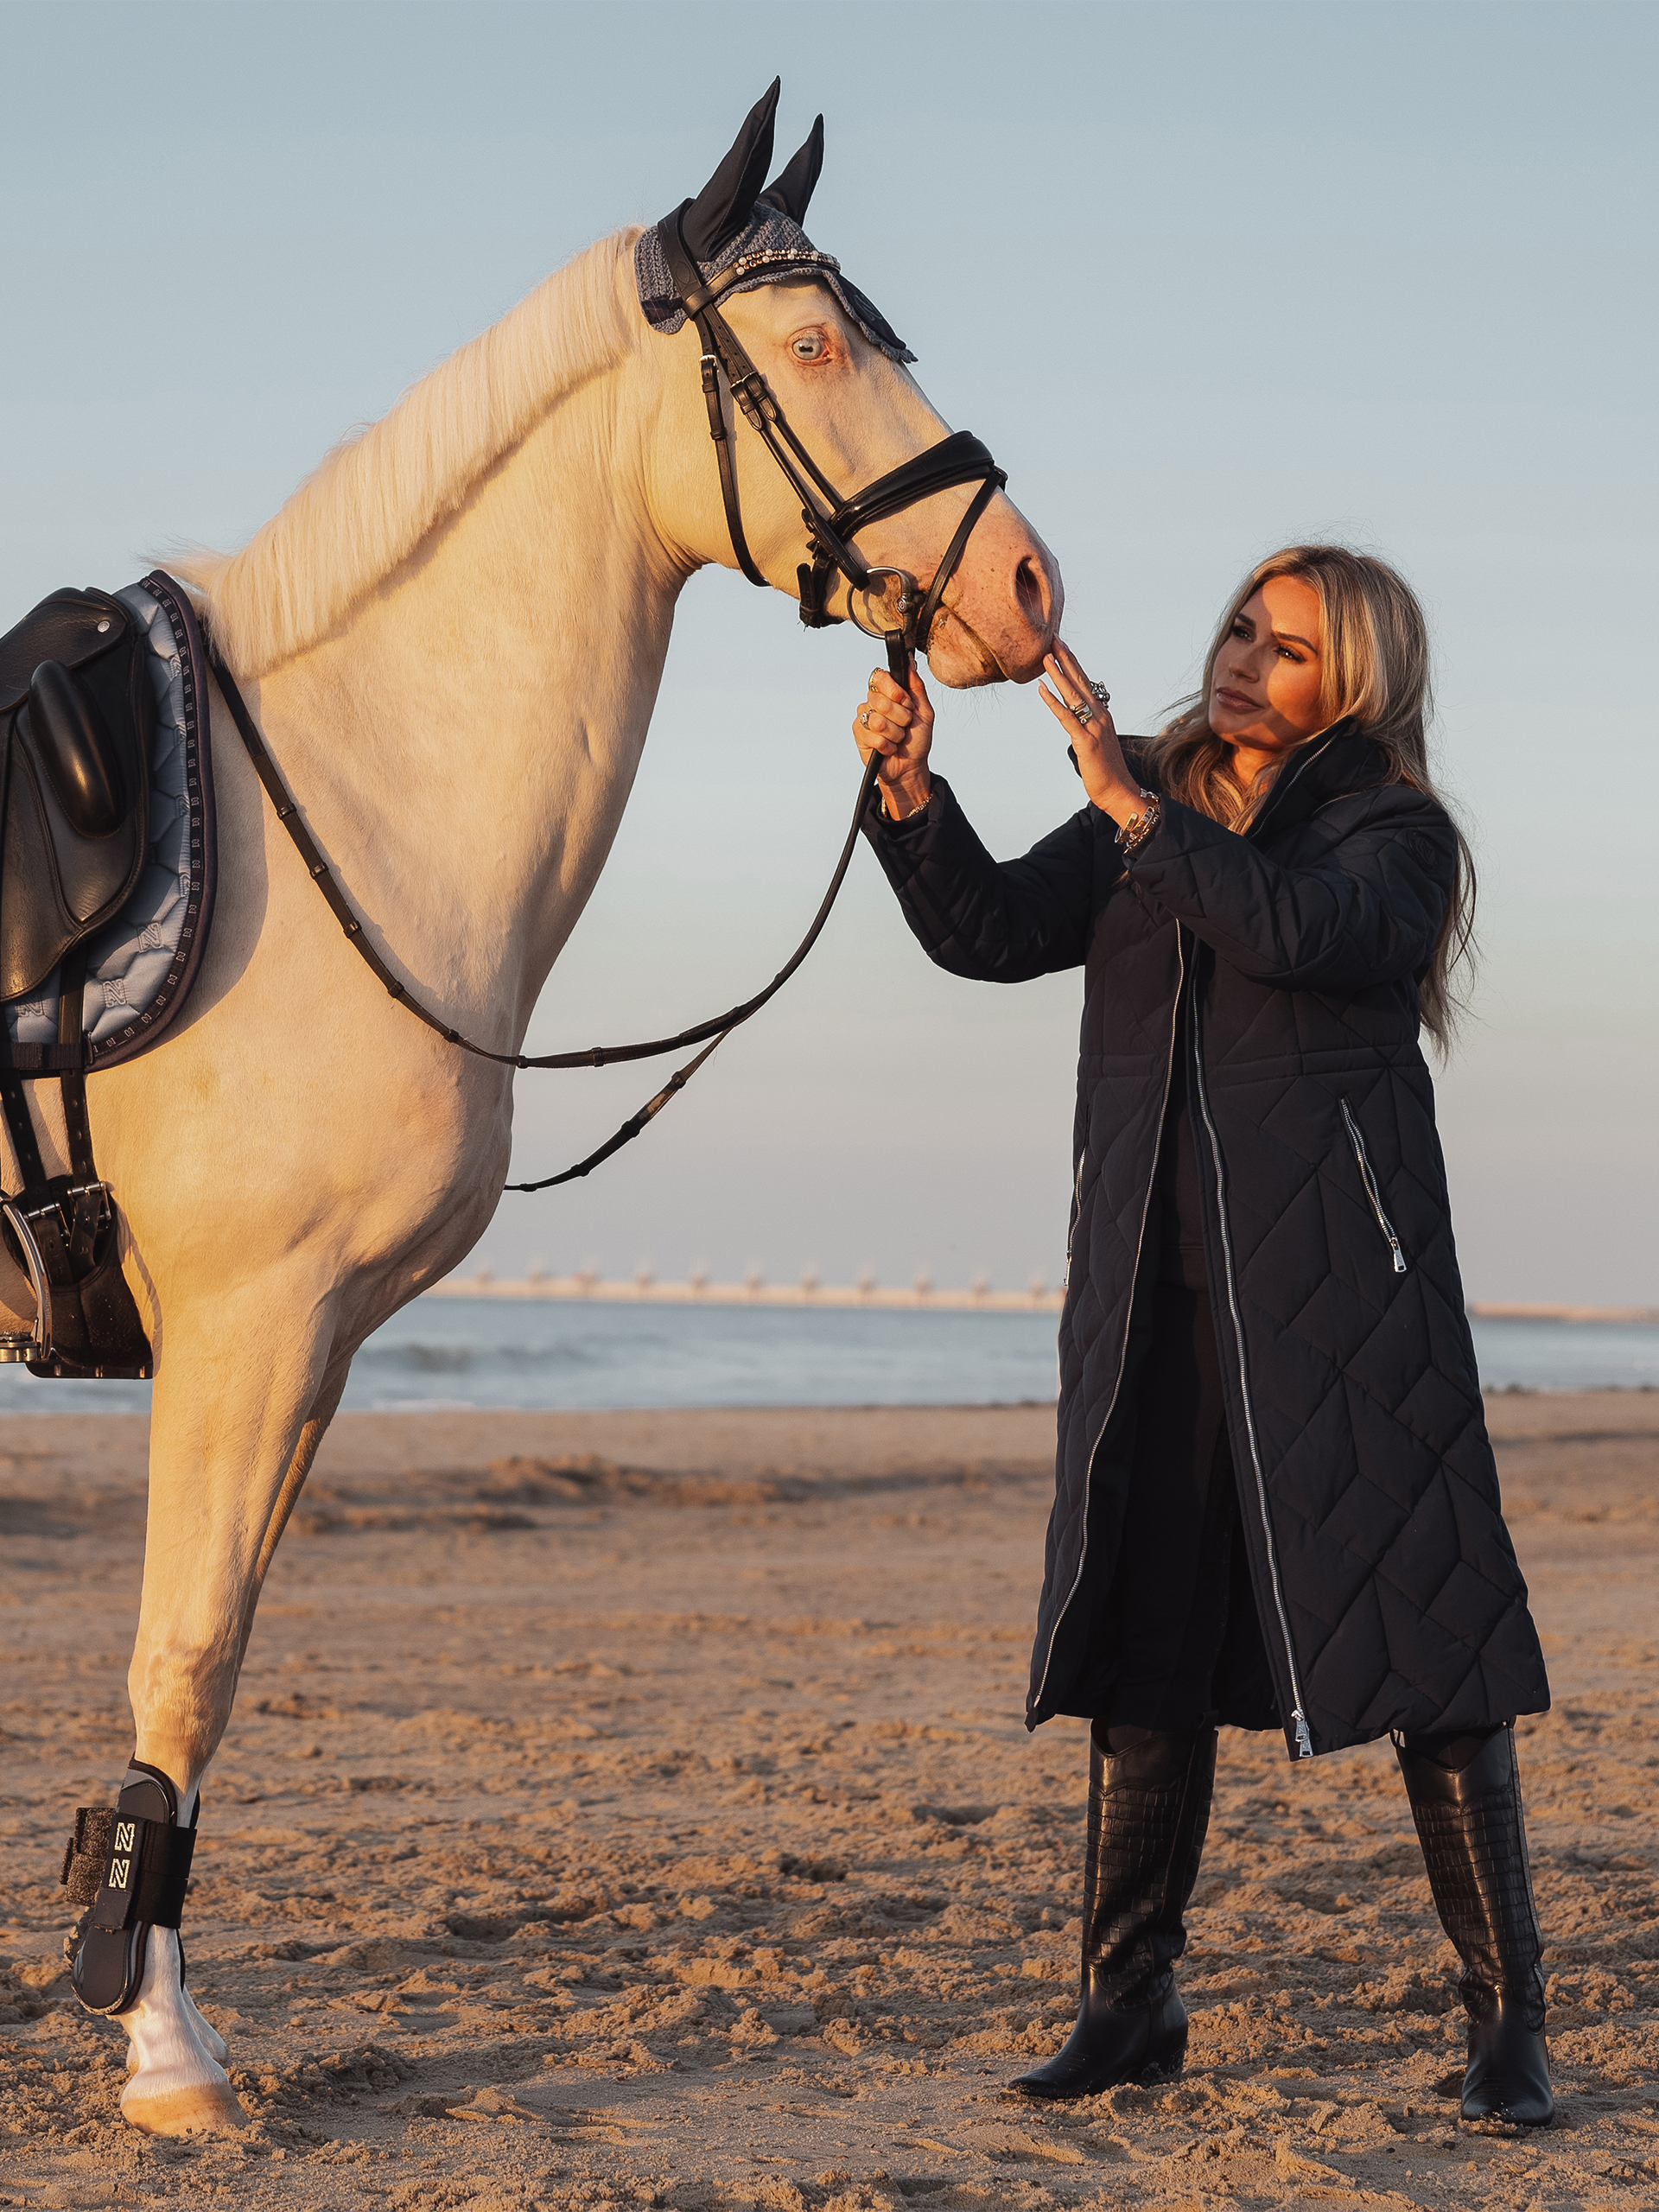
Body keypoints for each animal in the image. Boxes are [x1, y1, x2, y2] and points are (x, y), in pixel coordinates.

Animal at [3, 90, 1065, 2141]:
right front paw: (165, 2055)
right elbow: (183, 1657)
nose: (1027, 588)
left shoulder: (308, 1350)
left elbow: (217, 1666)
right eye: (818, 346)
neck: (328, 799)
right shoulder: (245, 1332)